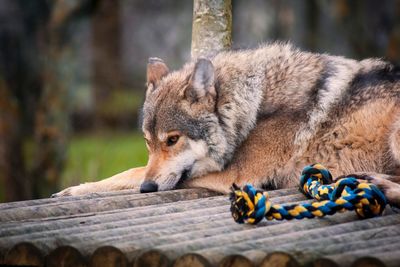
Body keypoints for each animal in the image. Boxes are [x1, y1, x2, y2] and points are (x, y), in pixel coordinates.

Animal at [53, 43, 400, 207]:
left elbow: (134, 172)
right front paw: (78, 189)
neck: (252, 106)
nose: (148, 190)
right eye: (149, 143)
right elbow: (134, 170)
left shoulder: (237, 174)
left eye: (172, 140)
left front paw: (76, 190)